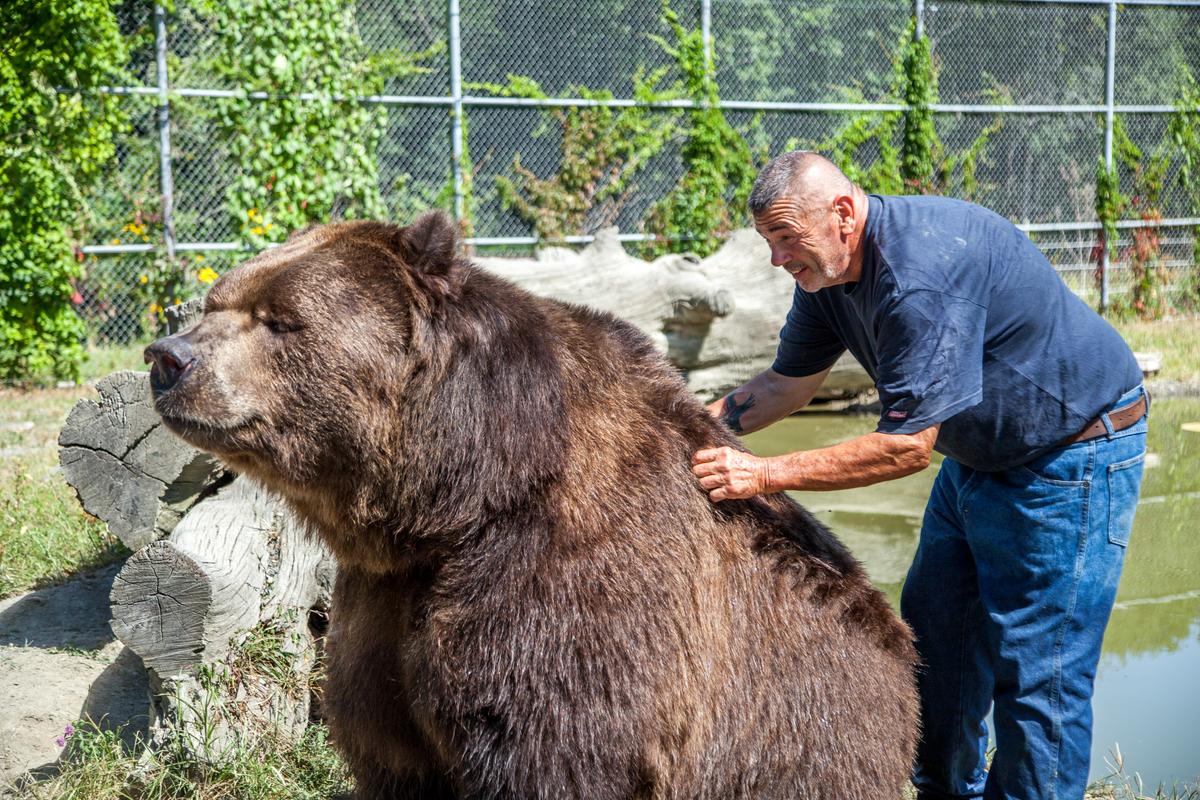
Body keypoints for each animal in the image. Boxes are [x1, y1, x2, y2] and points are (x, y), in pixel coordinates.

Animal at [145, 212, 912, 800]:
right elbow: (388, 742)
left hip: (800, 732)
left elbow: (555, 746)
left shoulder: (574, 590)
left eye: (280, 318)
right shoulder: (385, 609)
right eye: (216, 301)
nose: (167, 358)